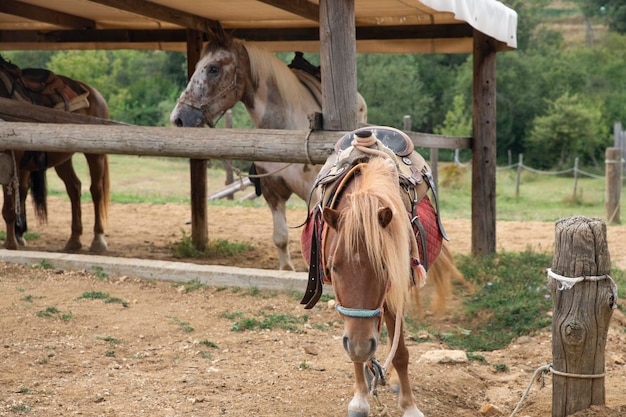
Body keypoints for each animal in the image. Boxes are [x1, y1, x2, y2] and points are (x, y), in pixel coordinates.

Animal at [0, 56, 110, 252]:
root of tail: (93, 92)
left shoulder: (11, 160)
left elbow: (9, 207)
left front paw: (11, 244)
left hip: (95, 155)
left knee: (96, 190)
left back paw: (98, 240)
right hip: (62, 158)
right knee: (74, 188)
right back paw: (74, 239)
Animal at [168, 27, 368, 272]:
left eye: (214, 68)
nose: (178, 118)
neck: (283, 133)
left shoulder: (313, 196)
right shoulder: (272, 193)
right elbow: (281, 238)